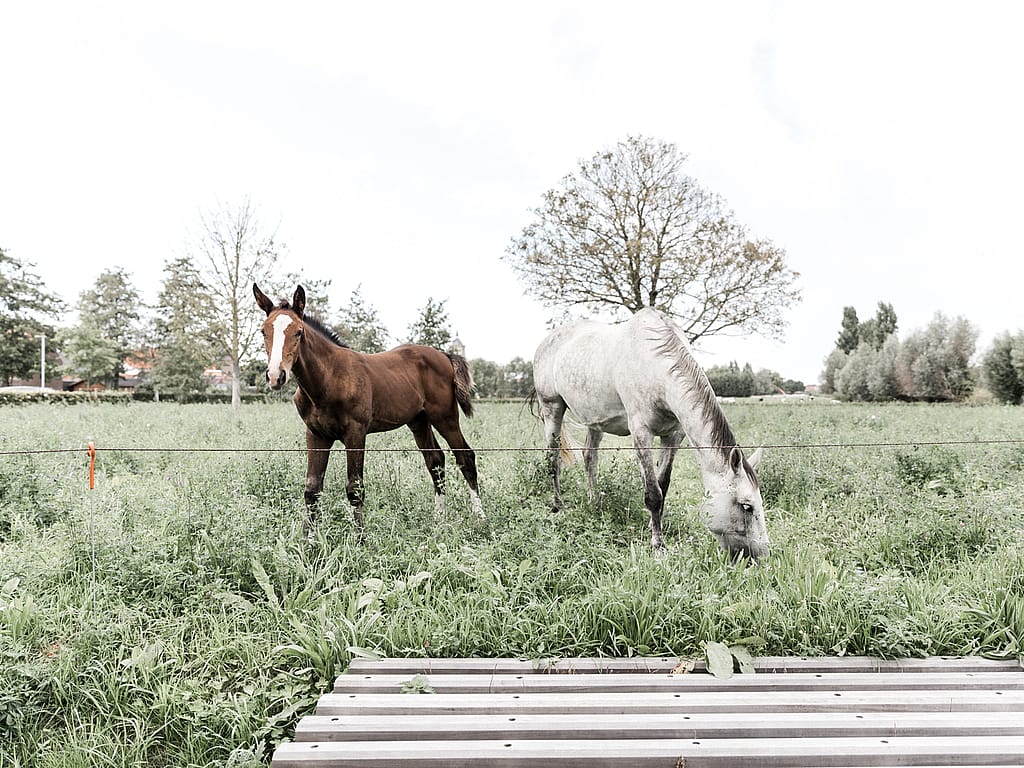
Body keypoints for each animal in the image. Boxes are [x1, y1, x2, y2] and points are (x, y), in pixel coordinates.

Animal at [253, 284, 482, 537]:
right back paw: (439, 522)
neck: (328, 379)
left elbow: (355, 487)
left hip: (445, 417)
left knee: (465, 457)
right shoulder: (316, 434)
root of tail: (443, 355)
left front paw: (360, 539)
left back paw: (480, 519)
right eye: (263, 331)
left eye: (299, 332)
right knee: (435, 461)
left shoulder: (356, 432)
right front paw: (307, 541)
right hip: (419, 421)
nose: (276, 376)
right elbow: (312, 488)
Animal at [533, 307, 769, 559]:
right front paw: (658, 544)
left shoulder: (673, 435)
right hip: (552, 408)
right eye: (746, 506)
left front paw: (653, 526)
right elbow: (653, 493)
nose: (762, 556)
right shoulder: (641, 432)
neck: (656, 367)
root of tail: (547, 341)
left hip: (593, 420)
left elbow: (662, 484)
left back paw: (594, 503)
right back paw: (558, 505)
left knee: (590, 458)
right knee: (553, 459)